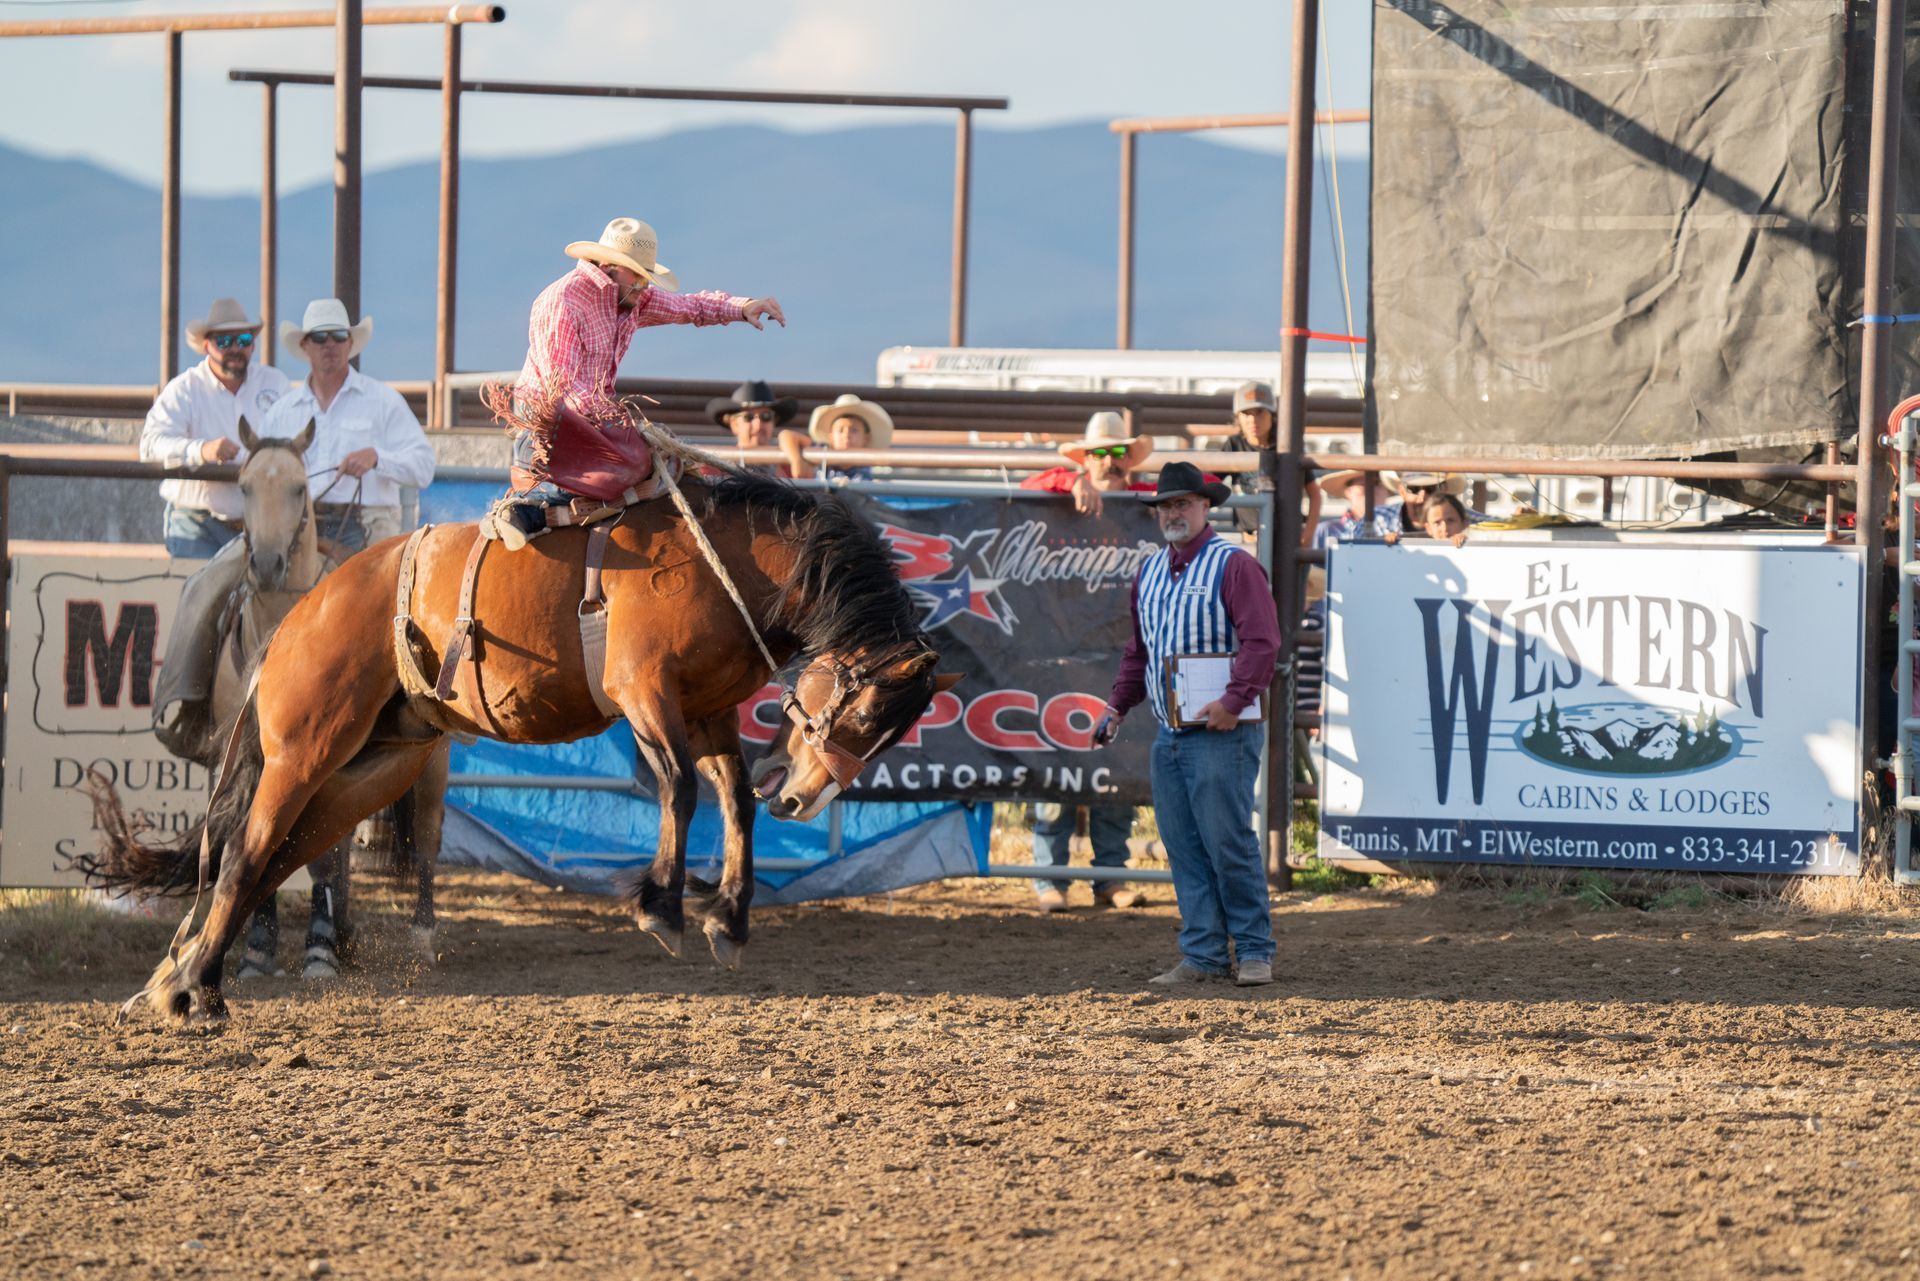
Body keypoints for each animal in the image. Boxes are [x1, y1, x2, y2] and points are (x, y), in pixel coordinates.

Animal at [82, 435, 952, 1029]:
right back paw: (196, 991)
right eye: (867, 713)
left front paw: (728, 919)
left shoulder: (706, 709)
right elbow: (677, 788)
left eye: (889, 733)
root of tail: (298, 613)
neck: (728, 563)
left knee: (273, 858)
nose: (805, 799)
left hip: (366, 771)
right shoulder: (644, 693)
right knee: (243, 854)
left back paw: (179, 982)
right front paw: (661, 906)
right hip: (302, 750)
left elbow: (733, 799)